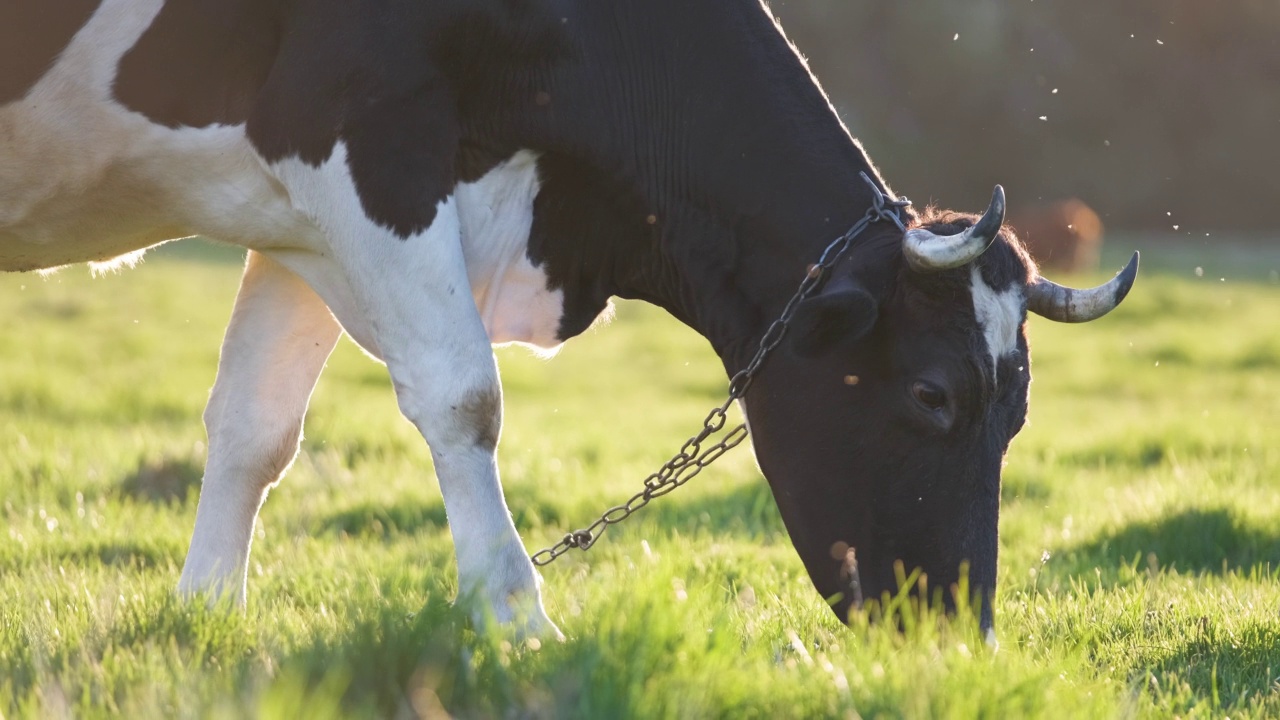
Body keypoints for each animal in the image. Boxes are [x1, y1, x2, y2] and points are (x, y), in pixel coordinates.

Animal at [2, 0, 1141, 632]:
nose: (953, 631)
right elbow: (462, 397)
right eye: (931, 393)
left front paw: (206, 617)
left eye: (1018, 412)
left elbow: (254, 430)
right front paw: (515, 619)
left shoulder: (291, 214)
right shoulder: (360, 137)